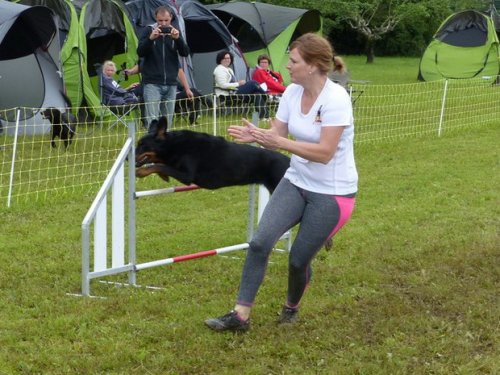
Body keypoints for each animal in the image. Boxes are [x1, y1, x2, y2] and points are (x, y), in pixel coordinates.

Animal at [135, 117, 292, 192]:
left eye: (141, 145)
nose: (131, 159)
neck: (175, 145)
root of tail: (289, 161)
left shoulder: (187, 176)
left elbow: (161, 166)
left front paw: (141, 172)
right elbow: (161, 165)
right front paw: (163, 175)